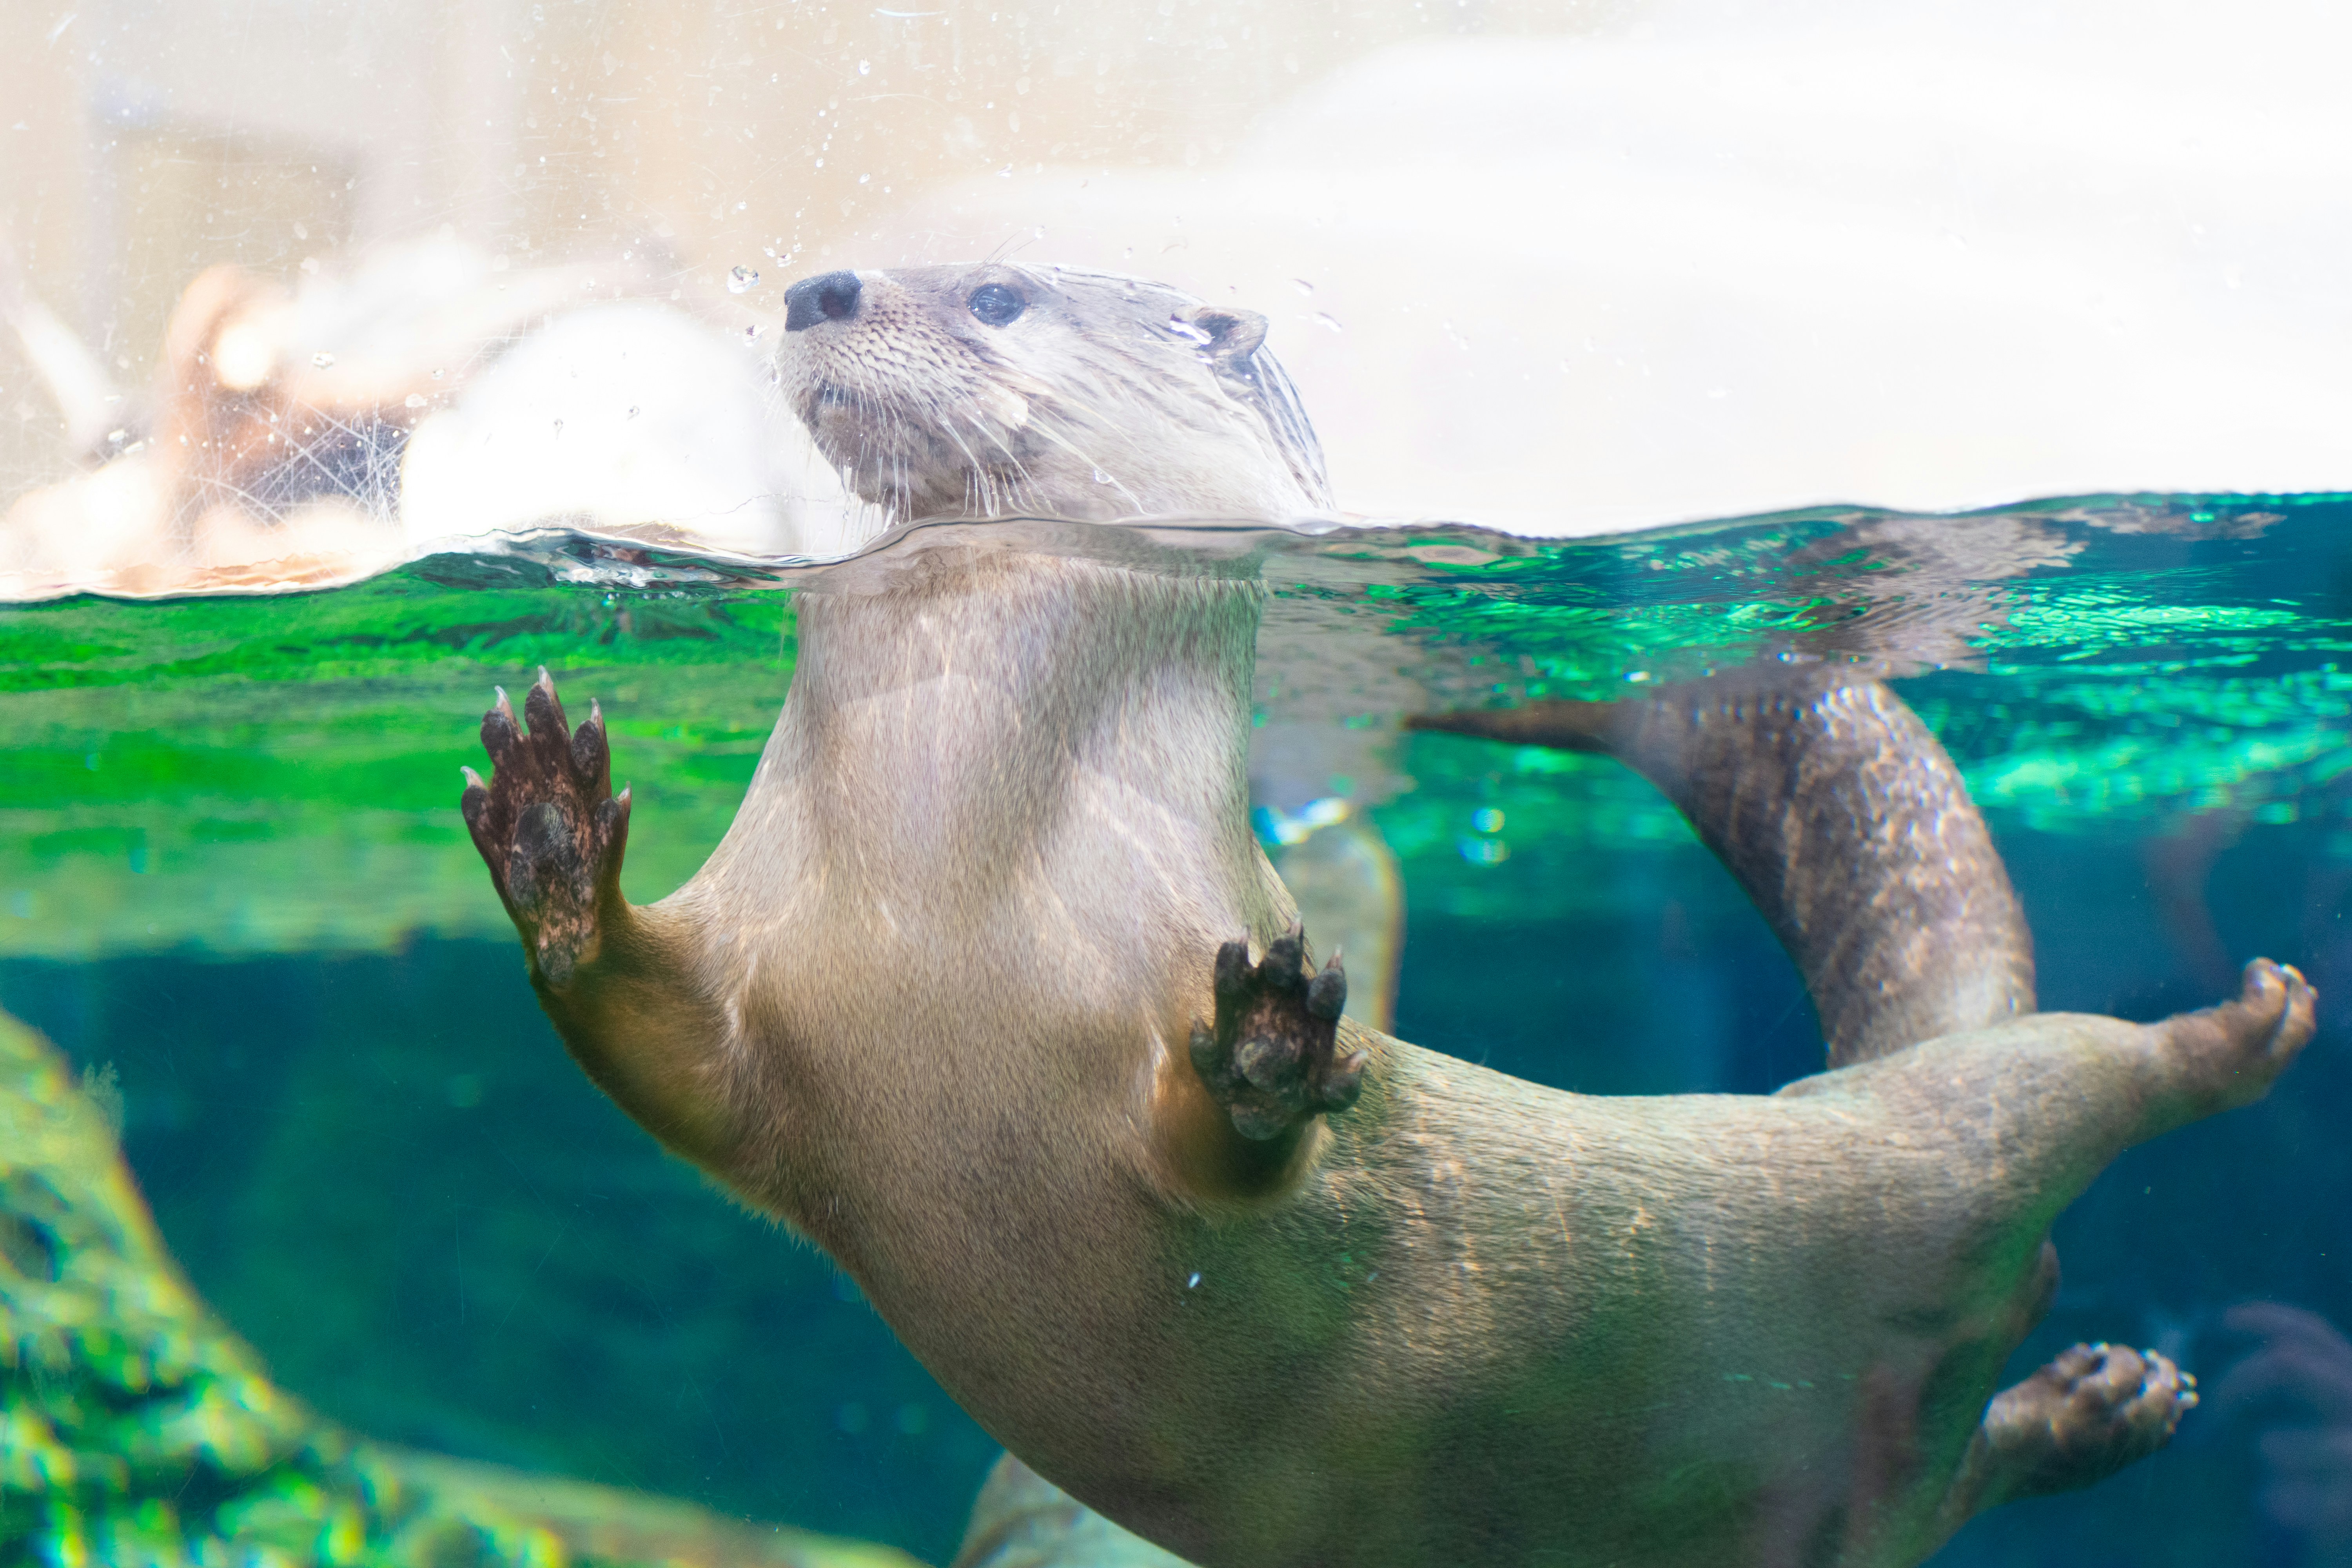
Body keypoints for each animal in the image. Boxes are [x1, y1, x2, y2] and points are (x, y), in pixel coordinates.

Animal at [458, 263, 2314, 1567]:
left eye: (993, 291)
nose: (817, 287)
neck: (942, 886)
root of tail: (1840, 1085)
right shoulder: (772, 1002)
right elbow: (657, 1047)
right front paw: (549, 828)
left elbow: (1250, 1168)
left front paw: (1267, 1049)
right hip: (1848, 1484)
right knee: (1947, 1477)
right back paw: (2098, 1402)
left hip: (1936, 1156)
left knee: (2072, 1080)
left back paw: (2246, 1025)